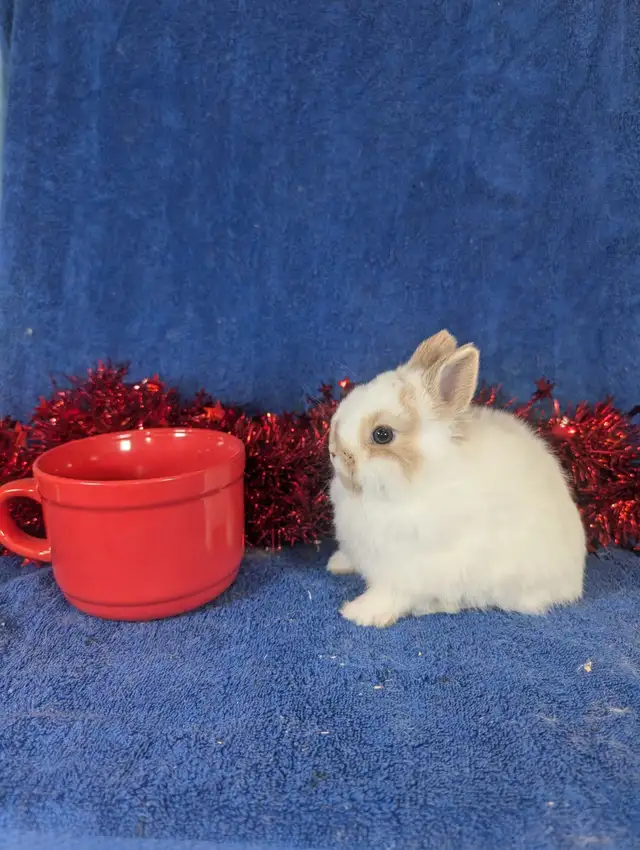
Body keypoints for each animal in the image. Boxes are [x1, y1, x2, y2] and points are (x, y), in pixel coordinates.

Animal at [327, 330, 586, 627]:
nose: (333, 451)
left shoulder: (409, 569)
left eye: (382, 434)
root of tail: (575, 581)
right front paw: (337, 563)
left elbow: (391, 594)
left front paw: (360, 613)